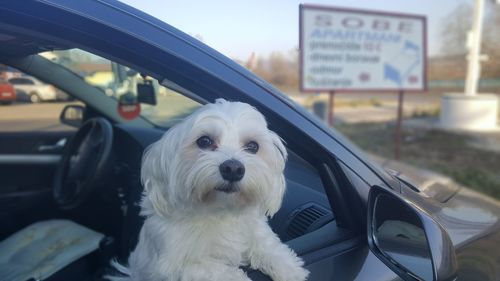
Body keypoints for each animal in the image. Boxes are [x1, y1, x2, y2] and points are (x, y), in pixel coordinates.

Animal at [112, 99, 308, 280]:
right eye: (204, 141)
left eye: (253, 146)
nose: (233, 169)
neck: (219, 210)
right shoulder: (171, 264)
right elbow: (210, 268)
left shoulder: (255, 229)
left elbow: (268, 245)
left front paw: (289, 268)